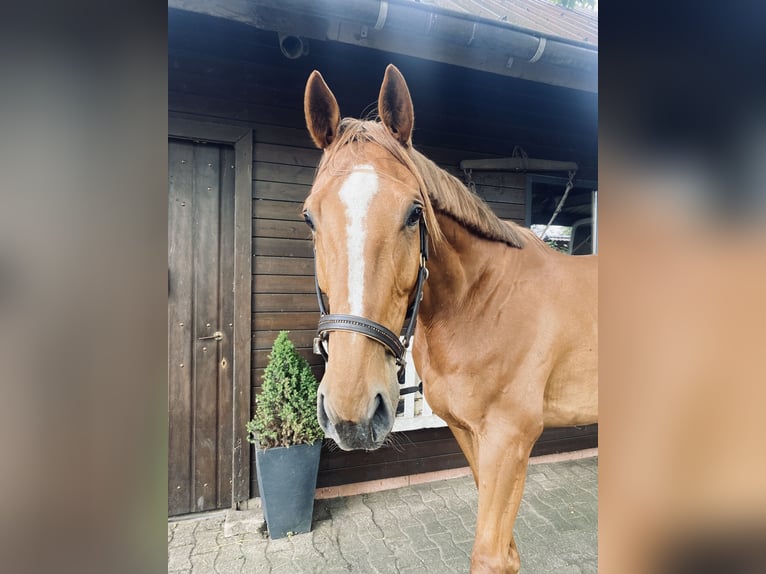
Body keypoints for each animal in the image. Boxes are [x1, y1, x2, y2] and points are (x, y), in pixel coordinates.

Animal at [302, 64, 598, 574]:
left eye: (413, 213)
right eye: (309, 218)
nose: (352, 411)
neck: (484, 301)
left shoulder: (510, 439)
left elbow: (491, 555)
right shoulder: (469, 435)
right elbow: (509, 553)